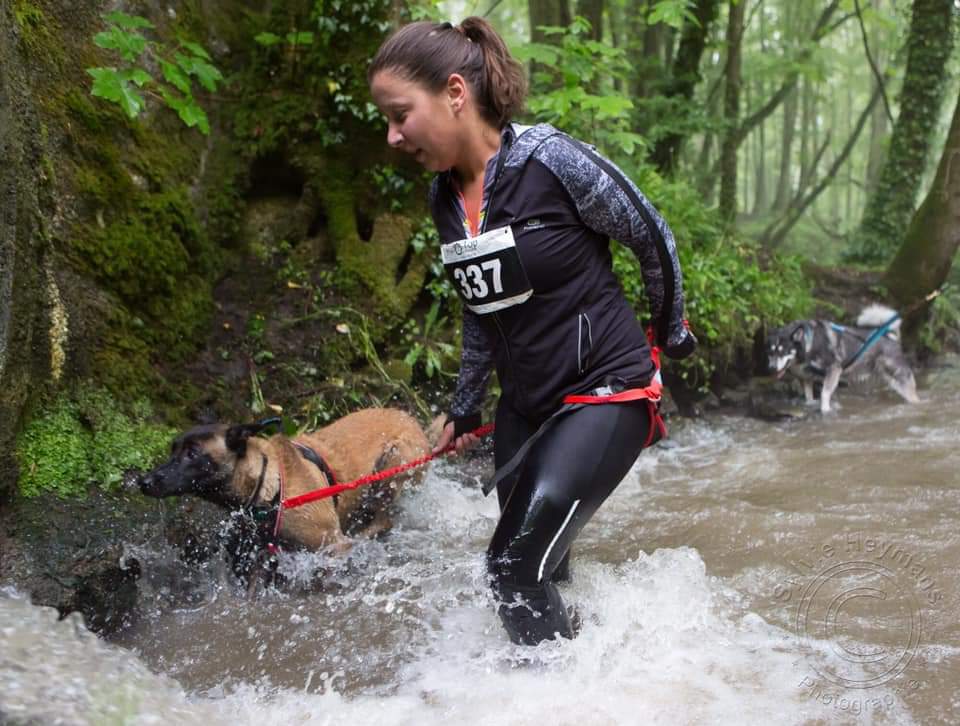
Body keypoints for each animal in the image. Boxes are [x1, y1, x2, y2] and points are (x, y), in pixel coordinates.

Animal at [138, 406, 432, 556]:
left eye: (192, 453)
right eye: (172, 450)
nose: (144, 481)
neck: (271, 485)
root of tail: (413, 420)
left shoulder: (333, 545)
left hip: (394, 460)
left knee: (384, 520)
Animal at [764, 304, 924, 412]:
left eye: (782, 351)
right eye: (771, 352)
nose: (771, 368)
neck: (809, 344)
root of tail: (888, 334)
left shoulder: (834, 369)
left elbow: (824, 393)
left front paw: (825, 409)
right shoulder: (806, 378)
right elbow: (809, 397)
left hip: (900, 378)